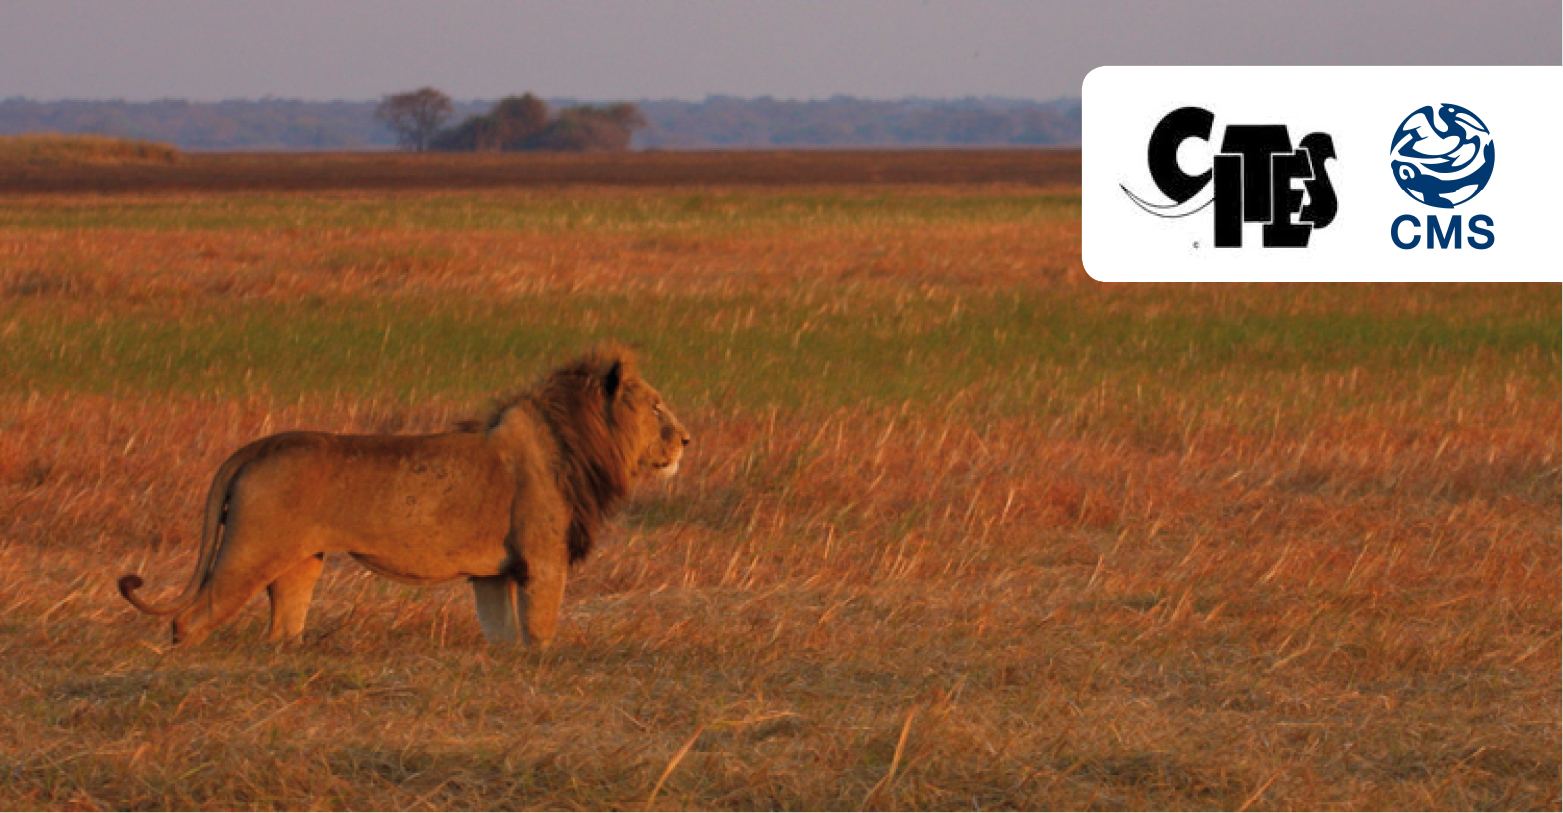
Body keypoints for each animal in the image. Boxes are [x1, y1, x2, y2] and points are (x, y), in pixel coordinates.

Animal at [118, 343, 688, 648]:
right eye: (657, 407)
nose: (686, 440)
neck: (576, 439)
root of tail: (255, 446)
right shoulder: (543, 561)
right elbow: (541, 632)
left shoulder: (492, 574)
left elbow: (503, 634)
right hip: (248, 553)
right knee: (188, 619)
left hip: (299, 563)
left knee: (282, 629)